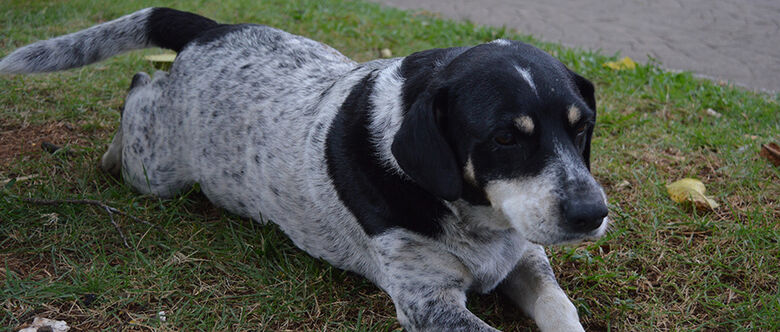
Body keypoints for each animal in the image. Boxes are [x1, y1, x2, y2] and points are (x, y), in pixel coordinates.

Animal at [0, 8, 608, 332]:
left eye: (581, 127)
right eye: (505, 137)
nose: (593, 213)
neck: (476, 217)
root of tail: (210, 28)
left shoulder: (526, 257)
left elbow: (561, 307)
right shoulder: (428, 302)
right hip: (156, 169)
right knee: (137, 87)